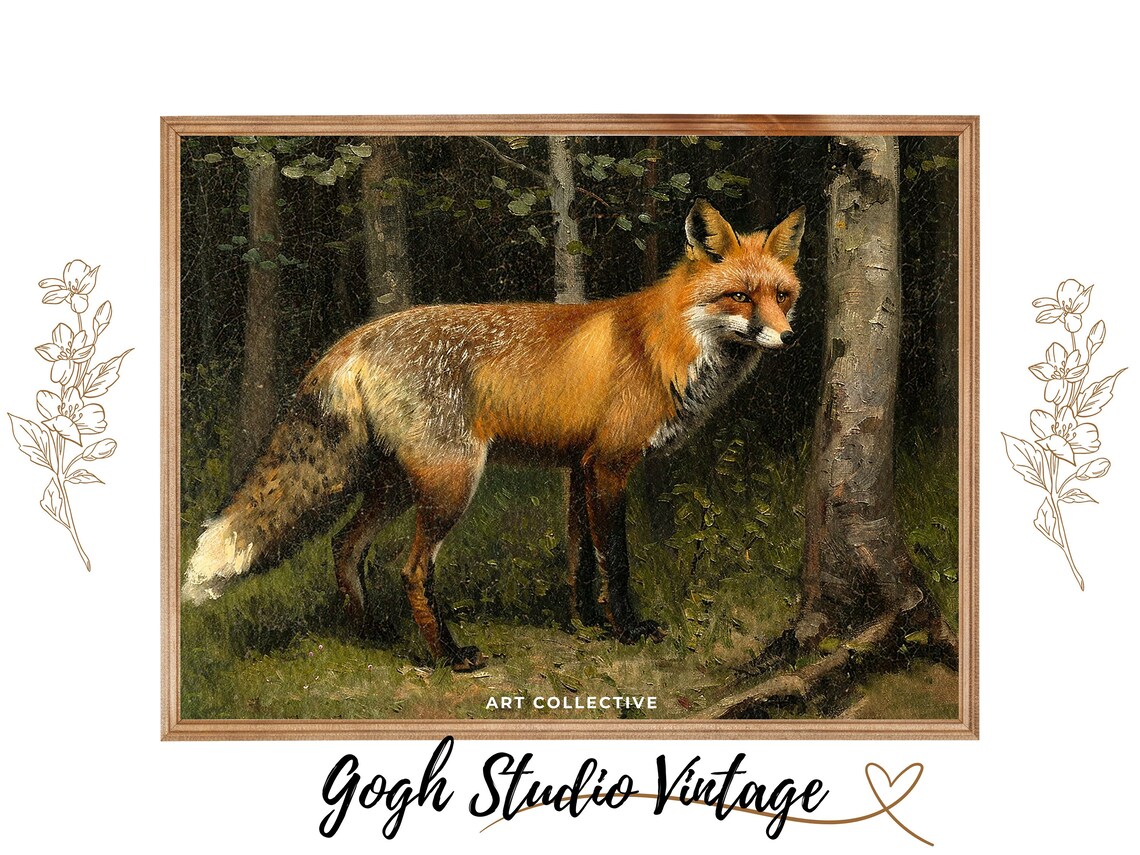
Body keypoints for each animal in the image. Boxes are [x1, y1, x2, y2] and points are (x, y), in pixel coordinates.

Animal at [182, 199, 805, 671]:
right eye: (740, 296)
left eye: (783, 295)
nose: (790, 338)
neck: (663, 344)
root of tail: (358, 336)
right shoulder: (609, 464)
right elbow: (617, 560)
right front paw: (626, 630)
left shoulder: (577, 465)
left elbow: (580, 560)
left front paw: (585, 623)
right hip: (451, 483)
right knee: (410, 570)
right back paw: (448, 657)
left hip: (397, 485)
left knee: (344, 545)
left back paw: (369, 635)